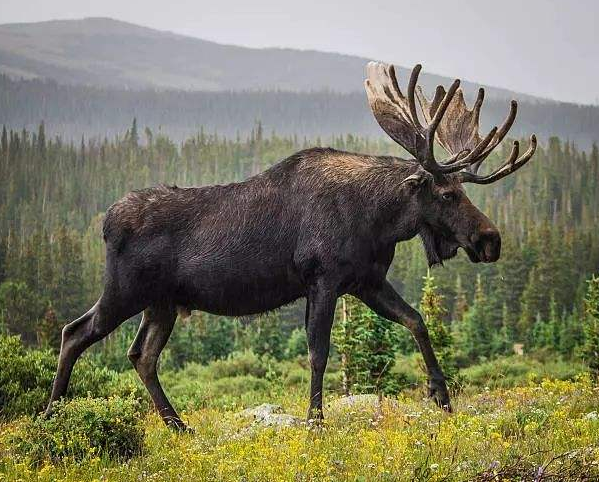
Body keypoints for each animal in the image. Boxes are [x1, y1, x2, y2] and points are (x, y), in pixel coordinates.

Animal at [44, 61, 536, 430]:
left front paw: (442, 395)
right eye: (448, 193)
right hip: (125, 290)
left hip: (162, 302)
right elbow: (319, 351)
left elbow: (416, 320)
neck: (378, 221)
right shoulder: (323, 280)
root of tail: (106, 222)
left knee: (141, 355)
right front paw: (315, 422)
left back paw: (179, 425)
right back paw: (51, 415)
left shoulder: (366, 282)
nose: (490, 240)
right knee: (75, 332)